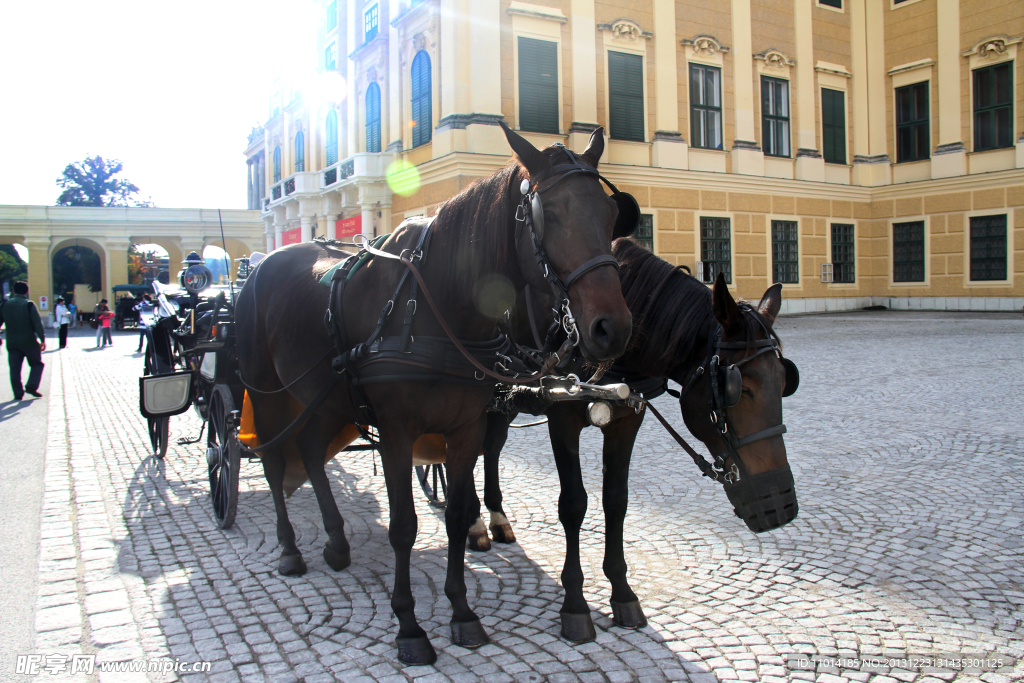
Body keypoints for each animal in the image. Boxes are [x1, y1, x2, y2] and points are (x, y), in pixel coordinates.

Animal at [234, 125, 630, 663]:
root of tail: (260, 265)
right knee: (276, 464)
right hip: (268, 395)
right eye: (551, 213)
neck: (434, 306)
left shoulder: (466, 427)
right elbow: (403, 525)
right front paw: (409, 626)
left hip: (324, 400)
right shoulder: (398, 433)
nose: (613, 328)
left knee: (312, 451)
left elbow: (459, 513)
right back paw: (290, 549)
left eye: (610, 213)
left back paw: (336, 542)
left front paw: (462, 611)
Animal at [479, 239, 798, 643]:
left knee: (490, 447)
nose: (782, 505)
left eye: (786, 380)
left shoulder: (627, 420)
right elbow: (573, 505)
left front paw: (623, 593)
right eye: (739, 387)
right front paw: (575, 602)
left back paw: (494, 518)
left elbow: (616, 501)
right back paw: (475, 523)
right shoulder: (562, 419)